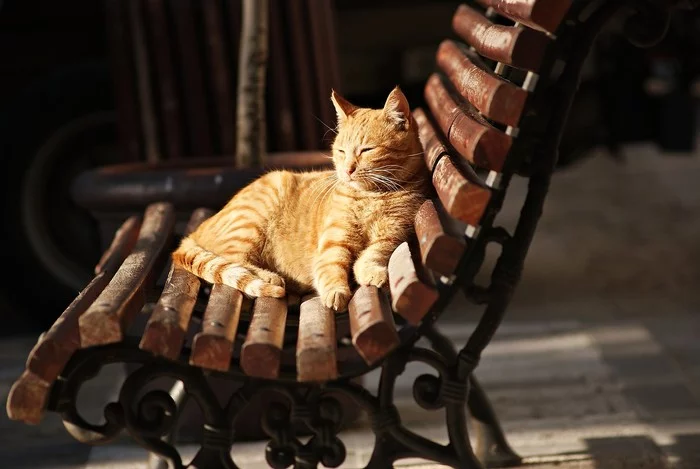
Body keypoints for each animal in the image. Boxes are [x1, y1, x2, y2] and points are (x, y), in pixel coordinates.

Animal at [172, 87, 430, 310]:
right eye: (341, 151)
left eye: (367, 150)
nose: (347, 170)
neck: (372, 196)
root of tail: (196, 230)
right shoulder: (333, 242)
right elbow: (331, 266)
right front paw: (336, 292)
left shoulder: (394, 234)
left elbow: (374, 253)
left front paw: (371, 271)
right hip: (251, 221)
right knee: (233, 259)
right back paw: (270, 278)